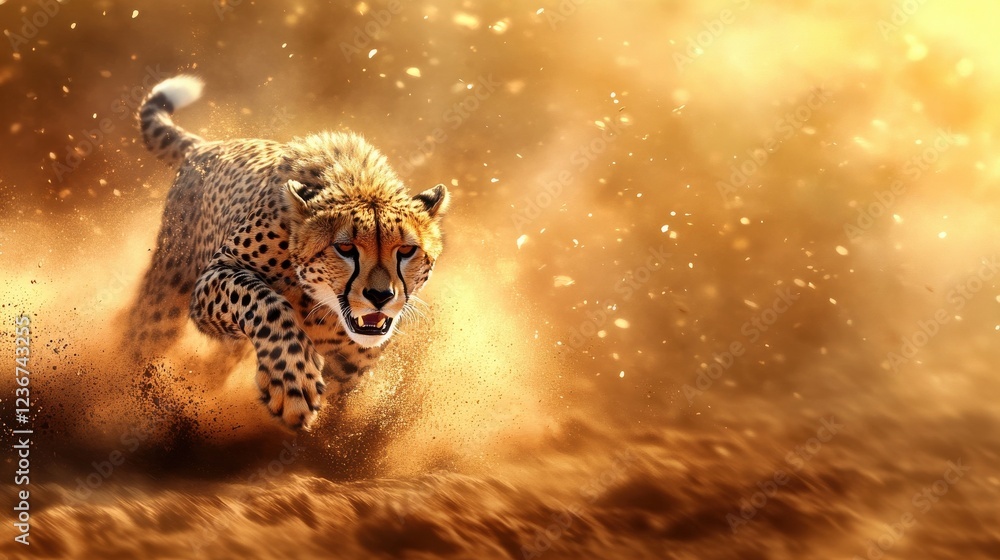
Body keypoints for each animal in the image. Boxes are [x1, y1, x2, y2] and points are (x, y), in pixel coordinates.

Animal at [125, 75, 449, 430]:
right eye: (345, 248)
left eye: (406, 249)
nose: (381, 296)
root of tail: (206, 146)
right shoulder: (214, 277)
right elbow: (263, 301)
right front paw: (292, 382)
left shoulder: (352, 367)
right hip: (166, 299)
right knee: (140, 336)